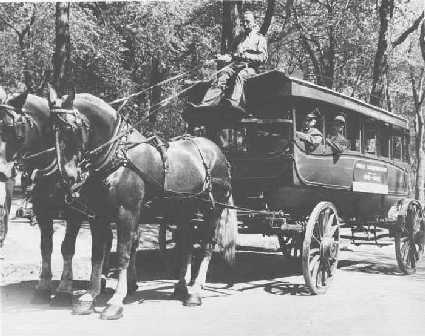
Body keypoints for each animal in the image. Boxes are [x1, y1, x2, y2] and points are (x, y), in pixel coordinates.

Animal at [0, 92, 112, 304]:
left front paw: (64, 288)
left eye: (15, 131)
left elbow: (67, 247)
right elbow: (46, 246)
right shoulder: (42, 210)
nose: (2, 173)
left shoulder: (75, 213)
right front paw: (43, 286)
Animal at [48, 86, 238, 320]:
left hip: (213, 209)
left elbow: (123, 255)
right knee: (185, 246)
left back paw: (195, 292)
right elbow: (97, 254)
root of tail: (217, 151)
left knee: (207, 246)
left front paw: (115, 302)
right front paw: (89, 296)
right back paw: (181, 287)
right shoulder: (99, 216)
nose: (67, 176)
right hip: (184, 210)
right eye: (52, 129)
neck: (117, 157)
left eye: (70, 127)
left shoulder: (127, 213)